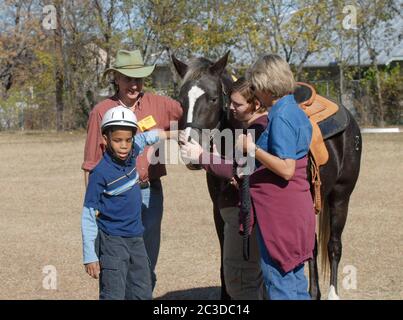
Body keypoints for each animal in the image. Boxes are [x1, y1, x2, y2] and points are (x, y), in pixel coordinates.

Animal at [170, 51, 362, 298]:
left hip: (340, 196)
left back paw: (329, 293)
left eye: (213, 98)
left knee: (333, 246)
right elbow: (225, 261)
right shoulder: (220, 211)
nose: (190, 148)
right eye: (180, 101)